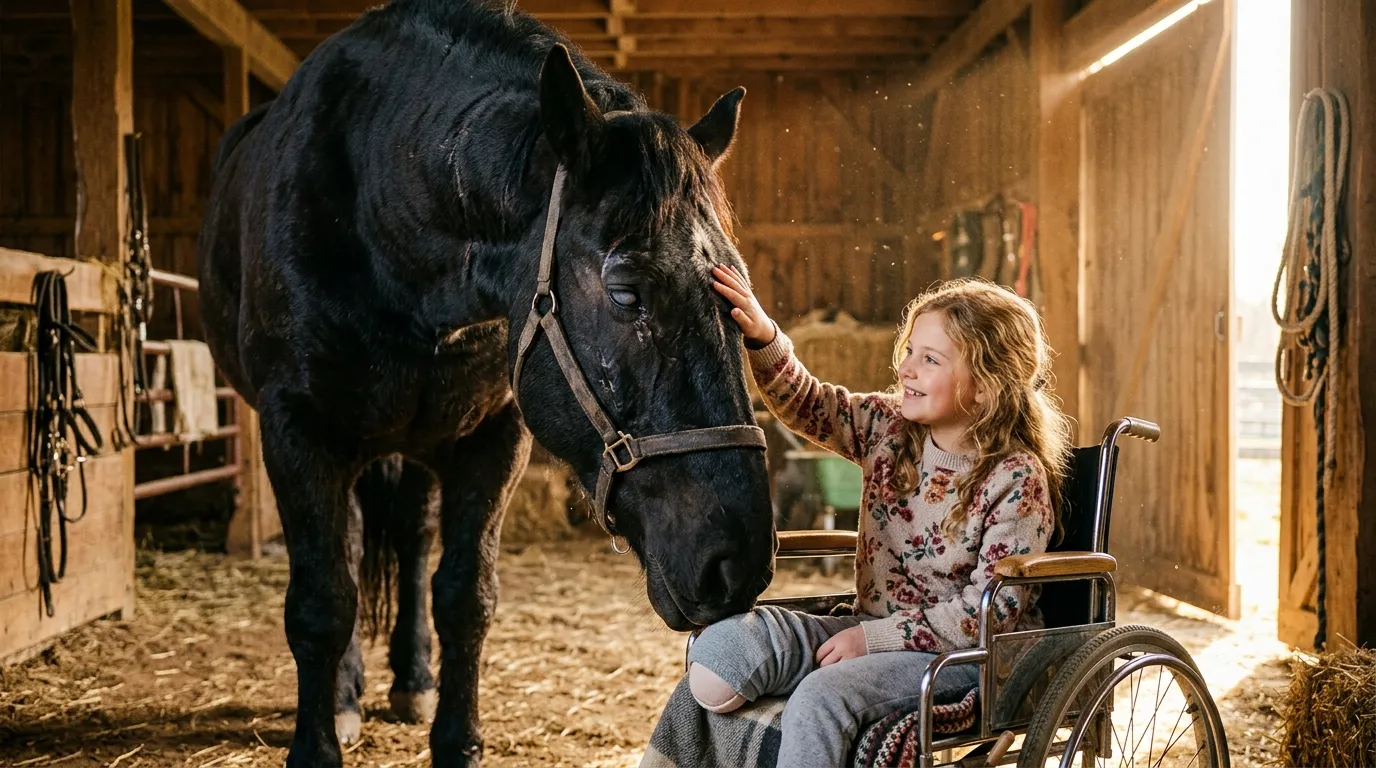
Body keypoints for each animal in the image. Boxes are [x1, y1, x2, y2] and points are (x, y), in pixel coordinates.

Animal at [197, 1, 776, 764]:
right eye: (627, 292)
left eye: (735, 288)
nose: (739, 564)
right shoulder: (298, 433)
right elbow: (323, 601)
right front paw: (318, 743)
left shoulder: (491, 439)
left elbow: (465, 597)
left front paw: (456, 736)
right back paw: (348, 697)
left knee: (411, 541)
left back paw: (411, 680)